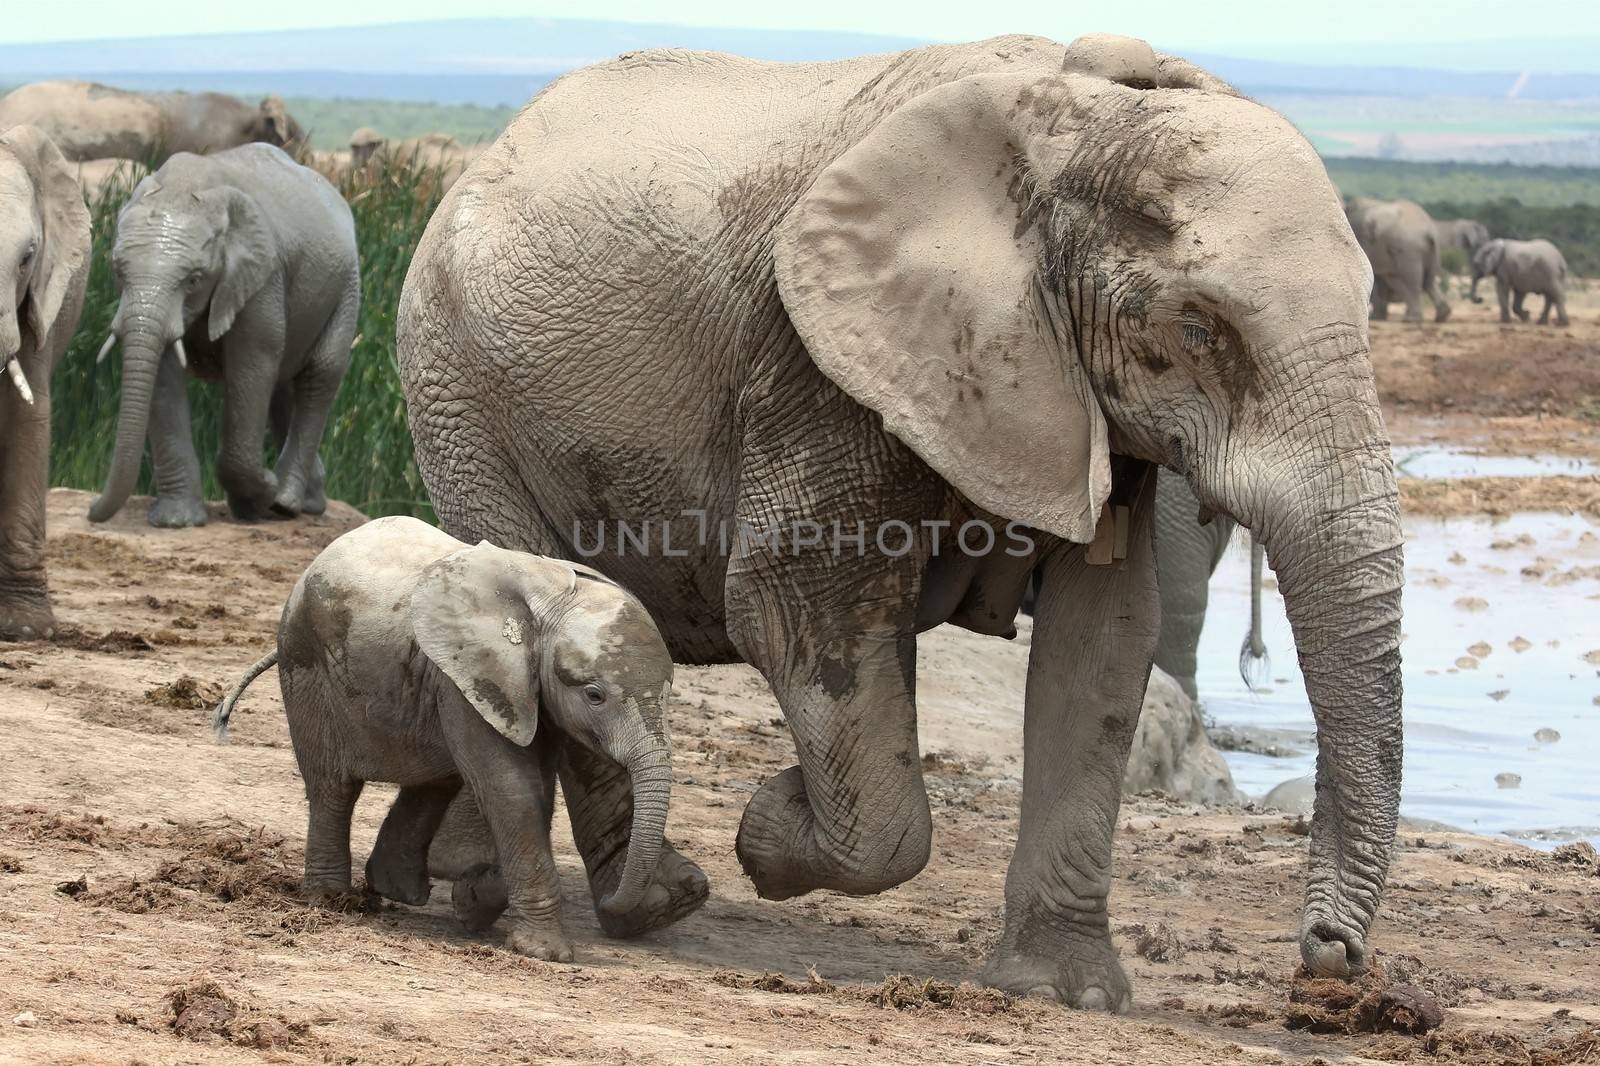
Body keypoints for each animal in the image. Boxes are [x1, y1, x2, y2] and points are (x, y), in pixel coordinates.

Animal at [88, 145, 360, 528]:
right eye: (117, 270)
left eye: (194, 279)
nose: (91, 509)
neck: (184, 186)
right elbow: (163, 373)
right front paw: (177, 522)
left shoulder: (262, 276)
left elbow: (252, 363)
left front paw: (262, 493)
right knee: (282, 385)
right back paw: (303, 502)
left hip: (348, 285)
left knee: (319, 376)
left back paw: (284, 503)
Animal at [396, 33, 1401, 1005]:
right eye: (1199, 328)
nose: (1330, 957)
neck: (1087, 120)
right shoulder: (815, 359)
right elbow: (799, 604)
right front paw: (772, 825)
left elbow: (1105, 641)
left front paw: (1064, 992)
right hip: (455, 389)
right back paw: (645, 903)